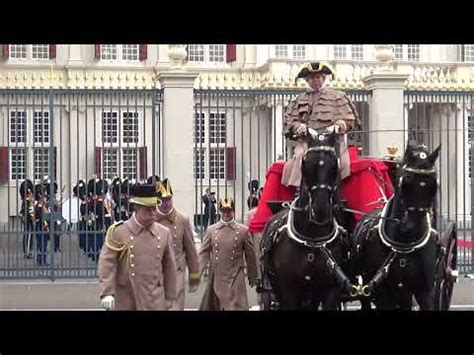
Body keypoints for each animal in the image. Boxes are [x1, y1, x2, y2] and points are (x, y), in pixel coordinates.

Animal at [262, 131, 354, 312]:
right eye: (305, 164)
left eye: (335, 165)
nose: (320, 208)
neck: (312, 238)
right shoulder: (289, 291)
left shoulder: (330, 289)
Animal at [352, 143, 440, 310]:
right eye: (406, 180)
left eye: (434, 184)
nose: (412, 225)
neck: (404, 244)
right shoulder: (383, 292)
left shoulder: (425, 291)